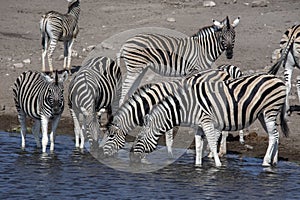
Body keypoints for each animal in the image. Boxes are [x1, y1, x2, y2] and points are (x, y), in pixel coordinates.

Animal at [102, 64, 243, 158]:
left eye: (111, 136)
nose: (102, 153)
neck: (149, 102)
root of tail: (224, 72)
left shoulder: (164, 115)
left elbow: (167, 137)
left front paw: (168, 155)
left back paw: (217, 152)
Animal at [130, 73, 290, 167]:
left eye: (139, 139)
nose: (131, 158)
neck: (187, 106)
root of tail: (277, 79)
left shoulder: (207, 121)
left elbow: (212, 144)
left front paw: (217, 165)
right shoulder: (199, 126)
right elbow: (198, 146)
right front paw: (198, 165)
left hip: (270, 110)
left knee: (273, 136)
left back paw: (265, 162)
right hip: (263, 114)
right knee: (275, 135)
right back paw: (273, 161)